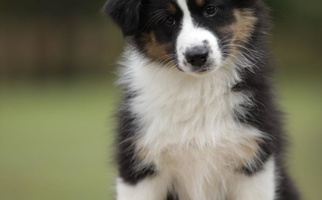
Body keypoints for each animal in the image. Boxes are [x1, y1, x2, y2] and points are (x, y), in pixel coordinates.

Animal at [102, 0, 300, 200]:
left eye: (210, 9)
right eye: (168, 20)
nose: (197, 56)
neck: (200, 88)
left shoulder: (254, 164)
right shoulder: (139, 166)